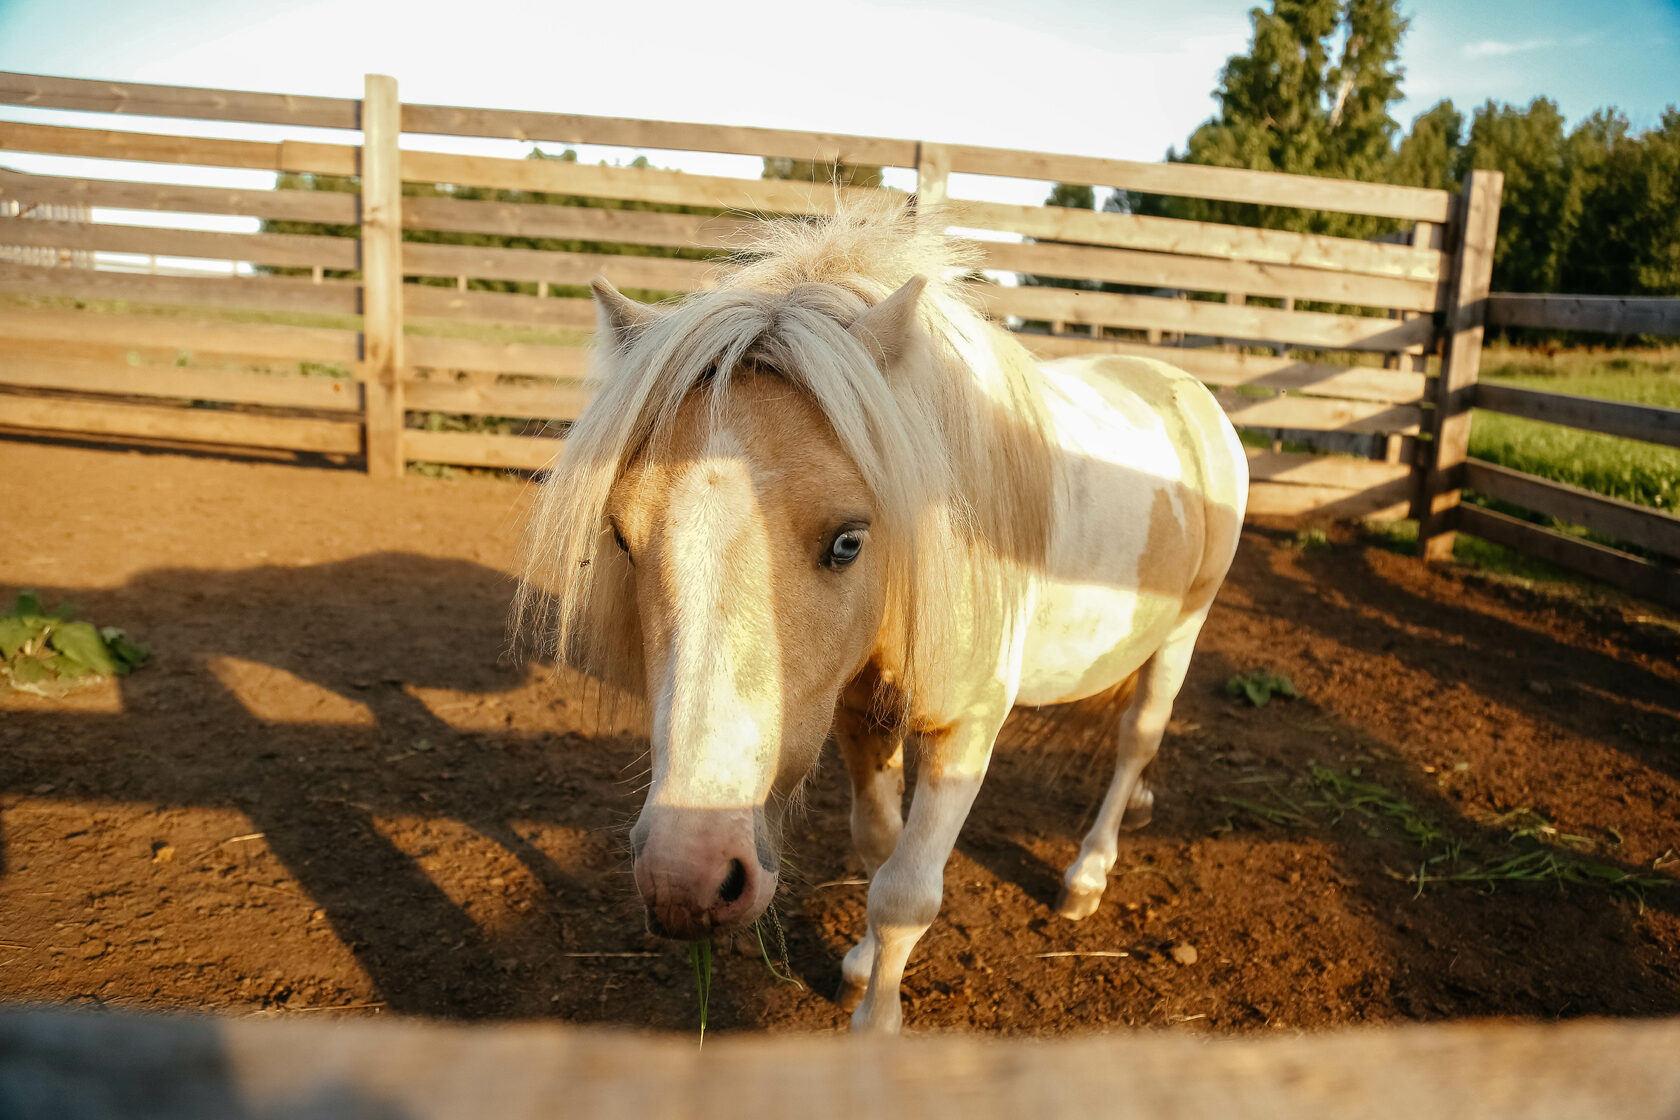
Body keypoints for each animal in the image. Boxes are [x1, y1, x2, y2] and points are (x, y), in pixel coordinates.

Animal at [520, 201, 1249, 1034]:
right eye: (620, 536)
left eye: (848, 541)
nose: (688, 878)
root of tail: (1189, 389)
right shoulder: (860, 718)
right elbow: (877, 848)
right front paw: (863, 968)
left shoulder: (965, 730)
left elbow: (906, 892)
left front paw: (878, 1022)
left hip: (1183, 634)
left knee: (1136, 741)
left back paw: (1088, 874)